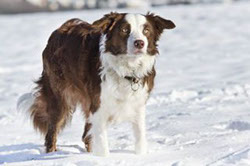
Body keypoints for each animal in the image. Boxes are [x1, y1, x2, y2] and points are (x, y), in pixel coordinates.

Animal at [20, 12, 175, 156]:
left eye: (146, 30)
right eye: (125, 30)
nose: (139, 43)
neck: (126, 70)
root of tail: (58, 30)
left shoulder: (137, 105)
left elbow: (140, 137)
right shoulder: (100, 107)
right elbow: (101, 140)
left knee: (85, 136)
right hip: (60, 98)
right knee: (51, 134)